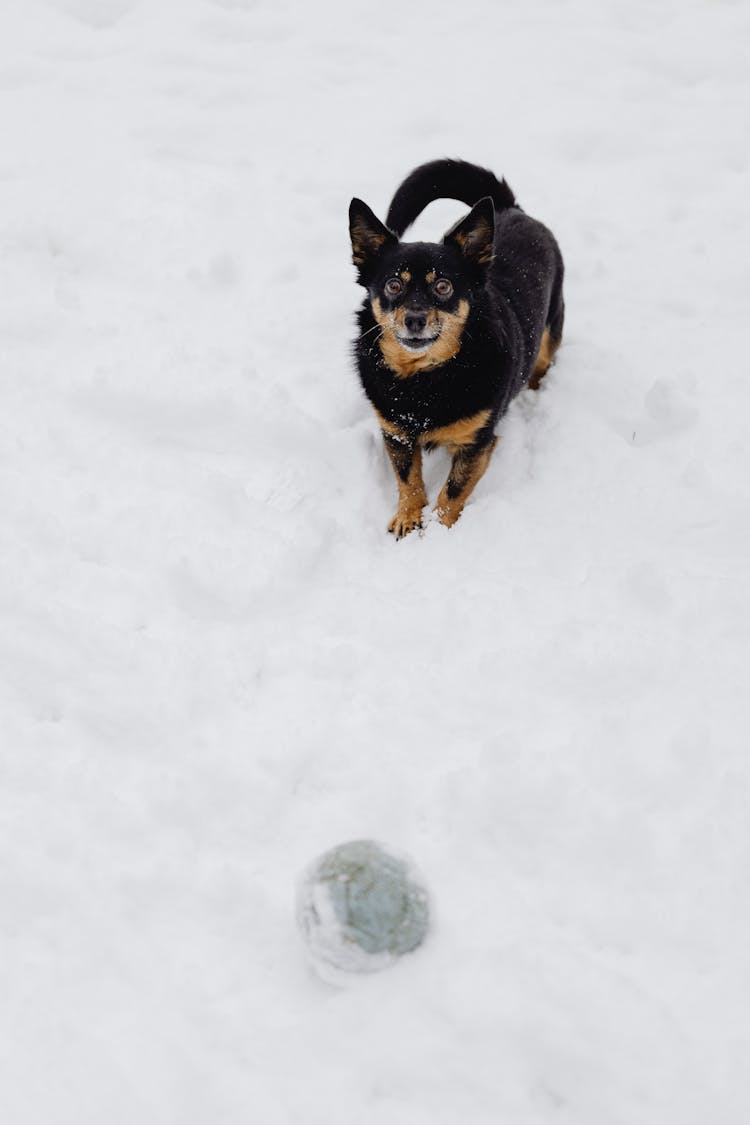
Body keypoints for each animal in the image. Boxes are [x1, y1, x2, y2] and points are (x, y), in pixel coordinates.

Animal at [350, 157, 562, 535]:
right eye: (393, 285)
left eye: (443, 286)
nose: (414, 319)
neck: (424, 380)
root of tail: (510, 208)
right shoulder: (396, 433)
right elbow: (408, 479)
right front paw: (408, 518)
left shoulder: (476, 443)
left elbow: (452, 491)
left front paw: (439, 530)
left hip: (552, 329)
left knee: (542, 362)